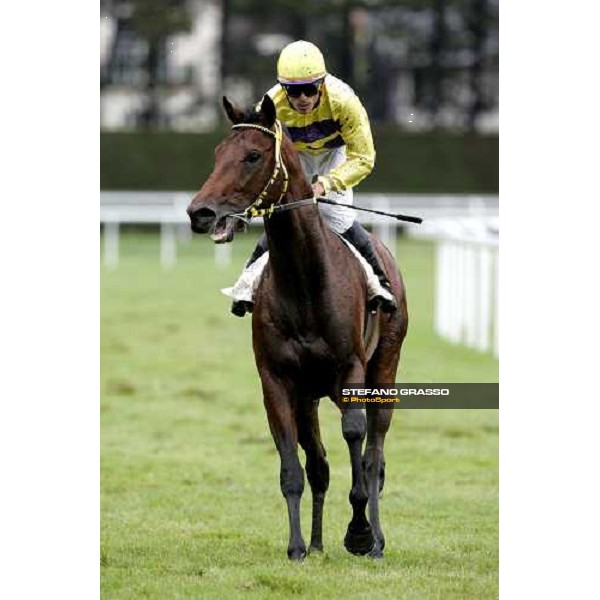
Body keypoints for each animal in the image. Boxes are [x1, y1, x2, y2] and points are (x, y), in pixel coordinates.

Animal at [188, 92, 410, 556]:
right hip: (309, 395)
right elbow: (293, 465)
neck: (306, 286)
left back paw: (375, 538)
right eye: (218, 153)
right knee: (320, 463)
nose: (199, 212)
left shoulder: (350, 371)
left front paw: (360, 533)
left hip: (384, 367)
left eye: (252, 156)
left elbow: (356, 442)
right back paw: (320, 542)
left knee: (375, 453)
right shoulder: (276, 380)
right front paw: (298, 548)